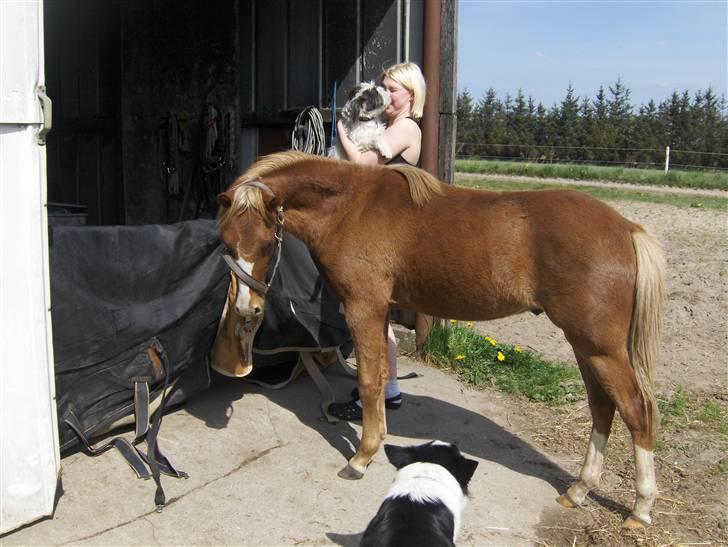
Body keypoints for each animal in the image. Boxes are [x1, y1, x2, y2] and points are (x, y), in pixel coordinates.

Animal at [216, 151, 666, 529]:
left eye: (266, 242)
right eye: (225, 242)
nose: (247, 310)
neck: (351, 207)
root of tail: (626, 228)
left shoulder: (363, 308)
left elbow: (369, 380)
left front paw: (361, 457)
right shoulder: (380, 311)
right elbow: (381, 377)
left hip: (600, 348)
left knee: (636, 411)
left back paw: (641, 509)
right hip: (585, 346)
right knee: (602, 408)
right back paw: (579, 489)